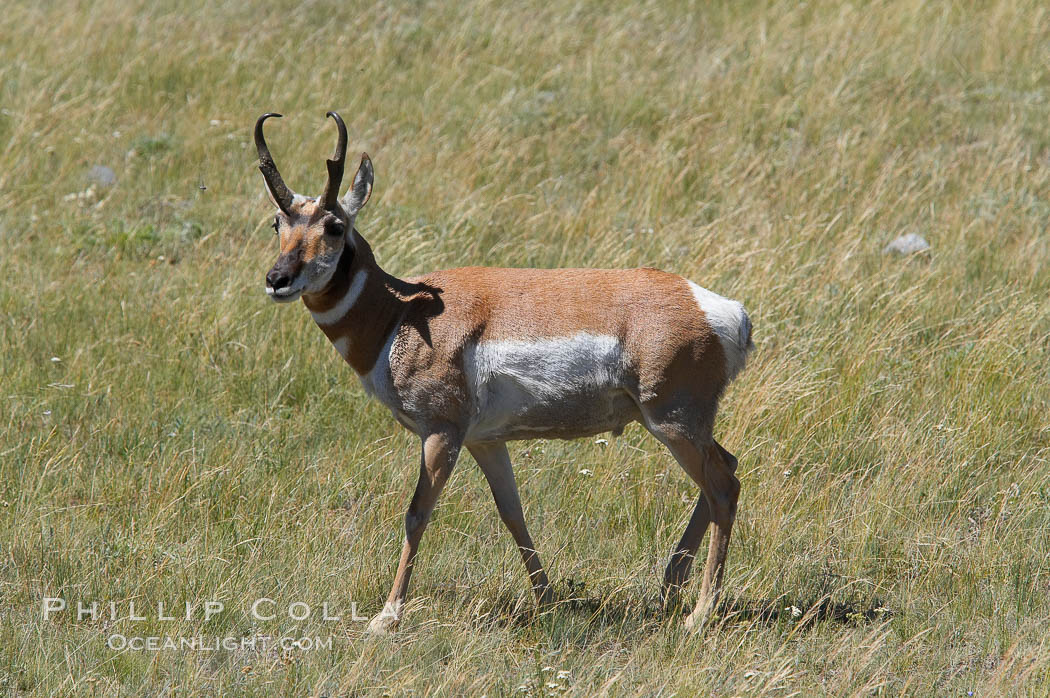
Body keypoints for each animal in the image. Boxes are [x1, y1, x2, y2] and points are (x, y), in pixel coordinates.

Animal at [255, 110, 755, 629]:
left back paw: (698, 613)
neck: (400, 314)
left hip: (672, 424)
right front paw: (547, 601)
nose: (277, 280)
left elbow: (417, 513)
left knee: (724, 486)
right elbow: (512, 512)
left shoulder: (442, 433)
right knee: (726, 471)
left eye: (334, 226)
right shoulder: (486, 441)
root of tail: (722, 310)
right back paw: (667, 589)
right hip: (682, 427)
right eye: (277, 222)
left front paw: (386, 617)